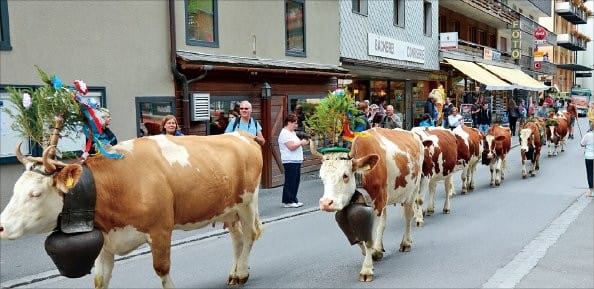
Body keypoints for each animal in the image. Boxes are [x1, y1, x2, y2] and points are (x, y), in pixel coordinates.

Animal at [0, 132, 264, 286]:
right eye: (15, 189)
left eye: (35, 194)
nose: (0, 227)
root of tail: (242, 134)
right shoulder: (105, 241)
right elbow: (100, 279)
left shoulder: (160, 230)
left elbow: (162, 269)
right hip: (228, 209)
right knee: (237, 239)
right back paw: (236, 273)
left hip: (247, 202)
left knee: (250, 235)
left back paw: (241, 273)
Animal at [312, 127, 424, 280]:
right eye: (321, 177)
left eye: (345, 175)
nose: (326, 203)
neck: (361, 176)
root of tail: (411, 133)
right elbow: (359, 238)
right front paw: (370, 253)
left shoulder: (378, 202)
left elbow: (368, 239)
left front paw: (367, 269)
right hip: (386, 199)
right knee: (383, 223)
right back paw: (379, 248)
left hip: (412, 190)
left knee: (407, 216)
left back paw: (406, 243)